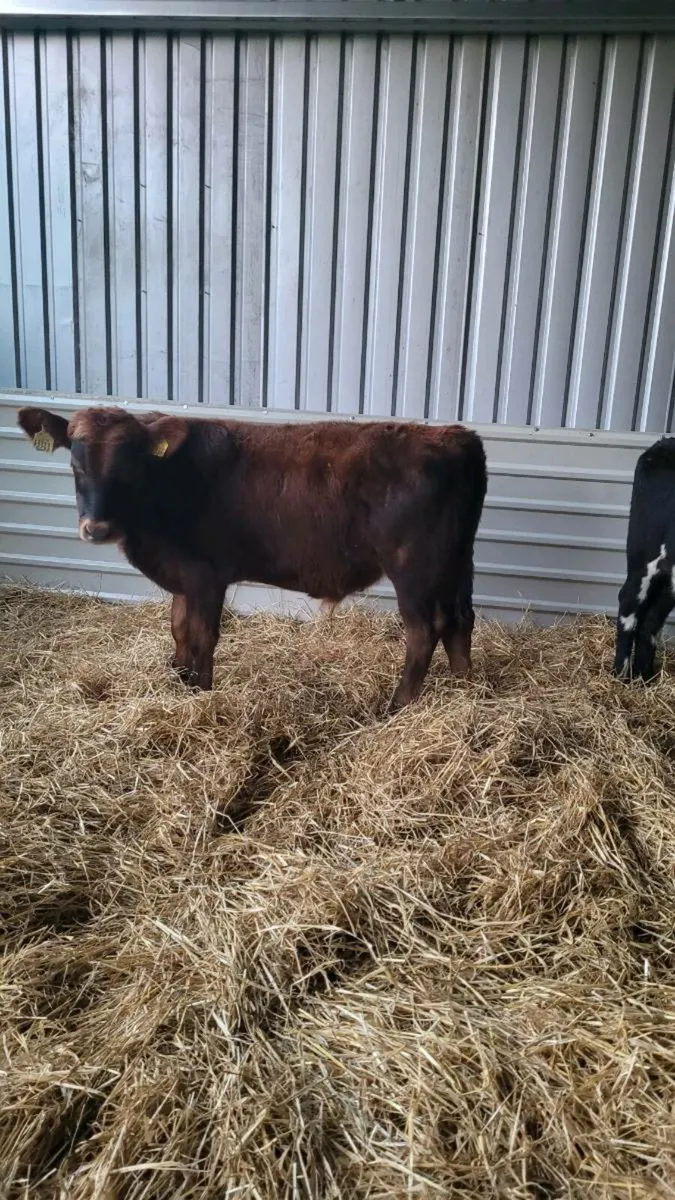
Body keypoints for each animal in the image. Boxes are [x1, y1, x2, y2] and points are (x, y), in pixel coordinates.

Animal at [17, 405, 487, 709]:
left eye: (129, 465)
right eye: (76, 463)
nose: (97, 528)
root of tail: (456, 436)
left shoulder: (205, 574)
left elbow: (200, 637)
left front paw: (200, 695)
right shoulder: (183, 576)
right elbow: (177, 630)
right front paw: (178, 682)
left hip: (413, 567)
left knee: (424, 631)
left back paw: (397, 707)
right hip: (458, 560)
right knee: (460, 619)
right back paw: (466, 689)